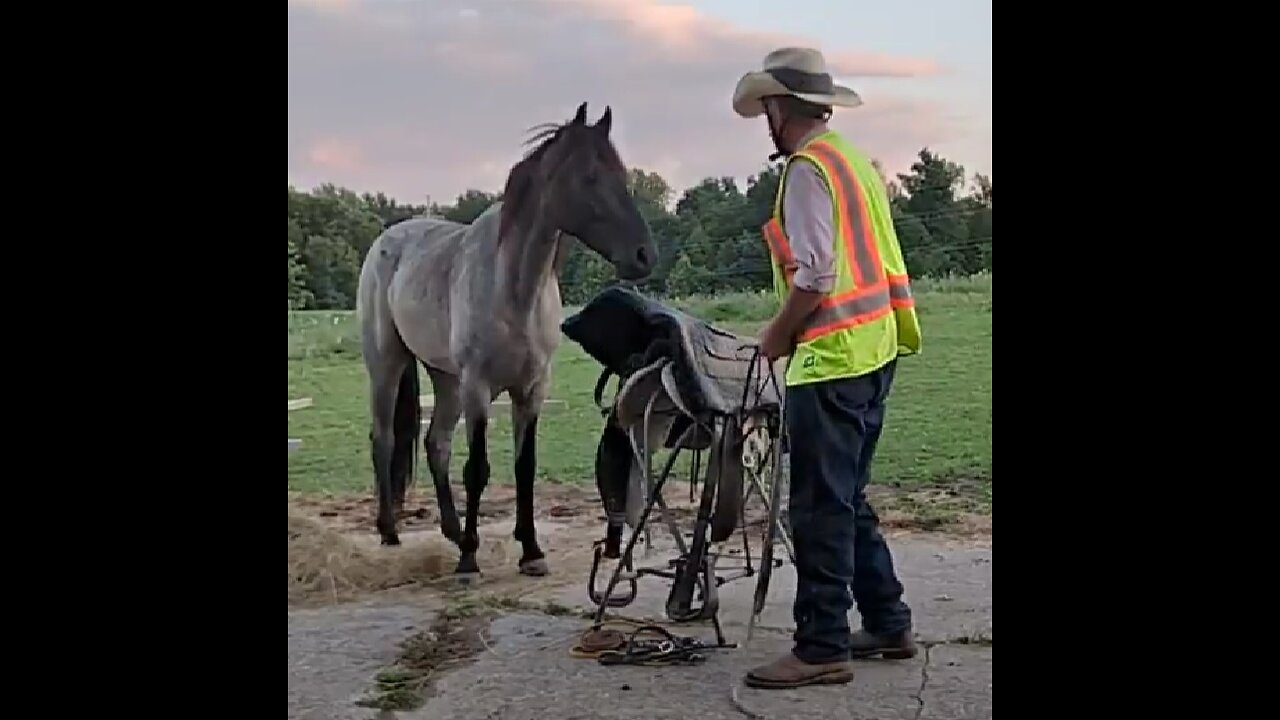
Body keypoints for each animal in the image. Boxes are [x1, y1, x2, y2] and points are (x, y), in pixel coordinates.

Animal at [358, 101, 660, 573]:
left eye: (622, 174)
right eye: (590, 177)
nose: (644, 255)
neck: (515, 290)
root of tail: (386, 241)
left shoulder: (532, 389)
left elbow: (525, 466)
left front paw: (530, 549)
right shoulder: (478, 388)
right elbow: (477, 469)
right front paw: (469, 560)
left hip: (446, 380)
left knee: (436, 444)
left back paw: (452, 529)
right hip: (389, 366)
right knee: (385, 440)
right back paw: (391, 531)